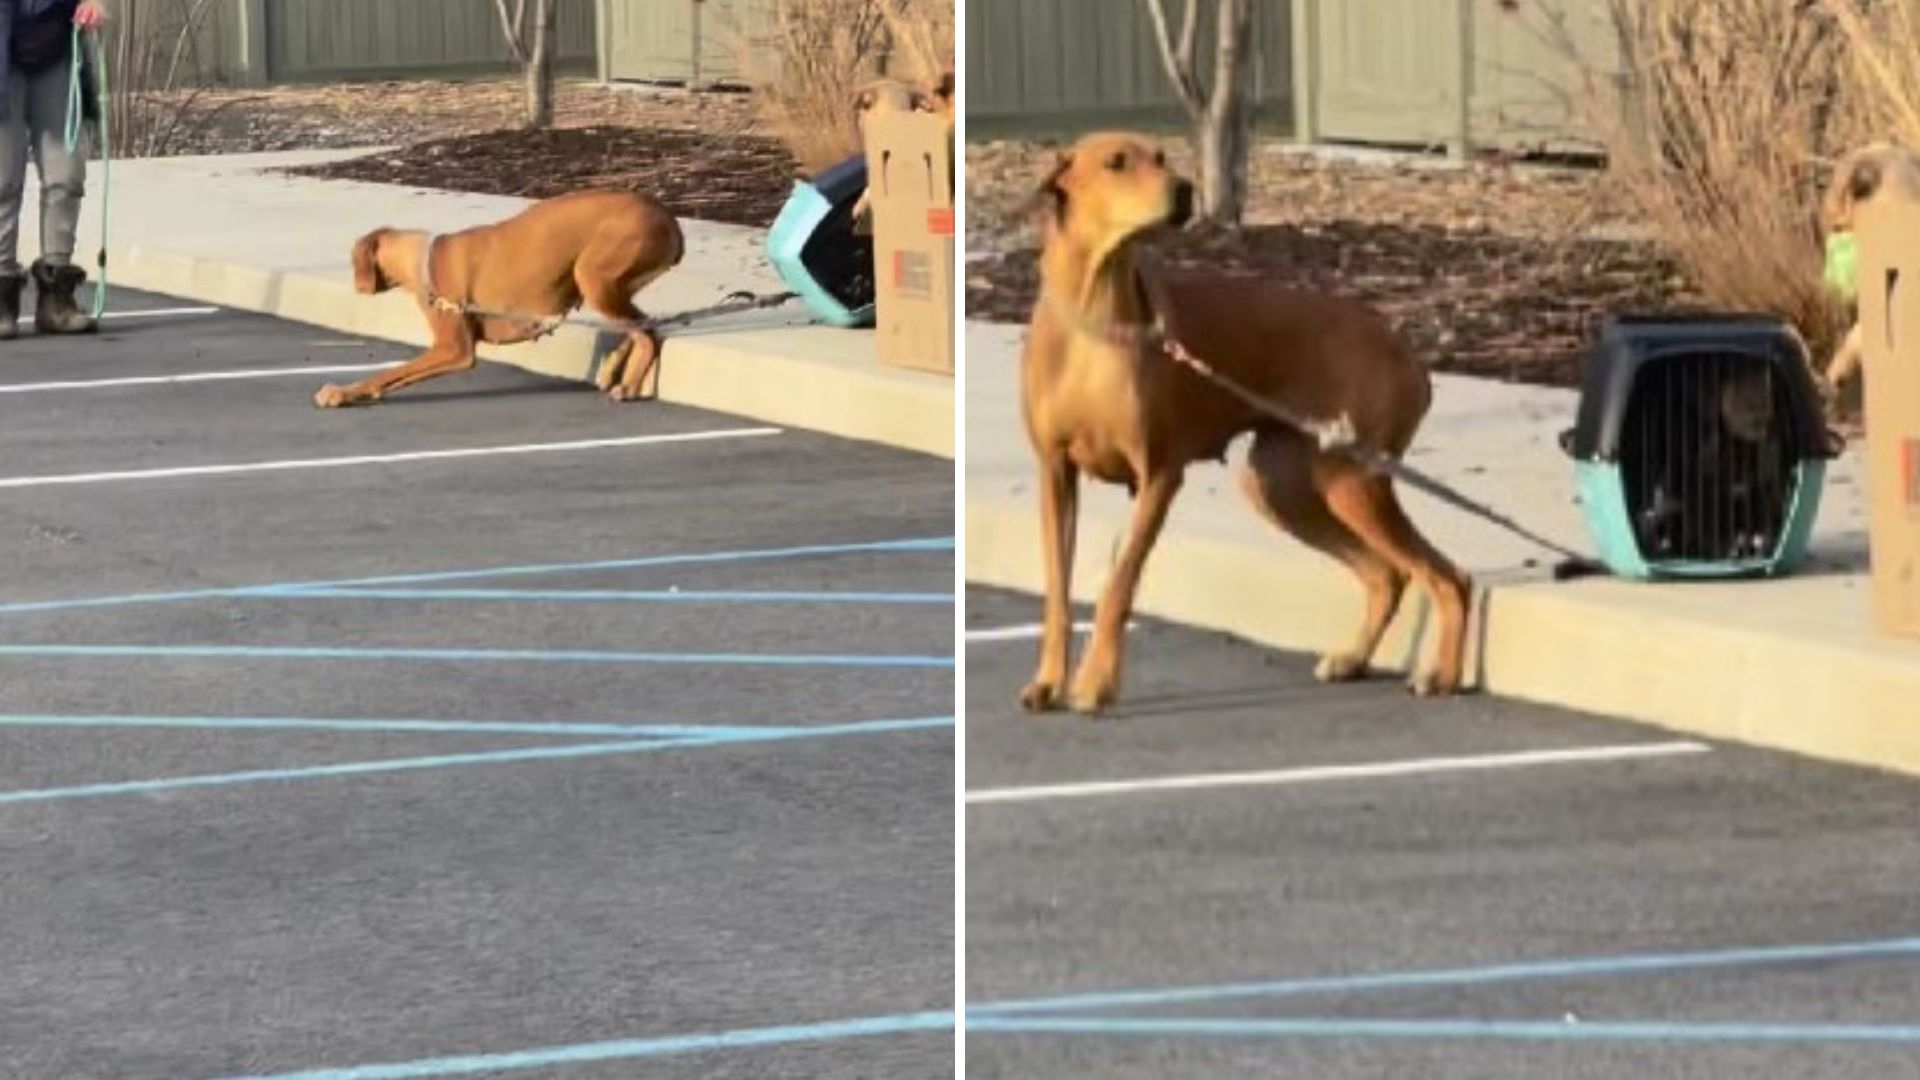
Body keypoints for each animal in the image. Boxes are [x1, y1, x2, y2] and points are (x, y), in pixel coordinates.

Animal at [324, 187, 691, 405]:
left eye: (353, 259)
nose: (357, 286)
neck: (423, 259)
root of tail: (669, 219)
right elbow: (394, 378)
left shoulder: (454, 350)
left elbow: (389, 373)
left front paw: (342, 392)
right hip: (612, 285)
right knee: (648, 328)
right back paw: (615, 370)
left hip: (595, 276)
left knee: (648, 335)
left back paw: (628, 386)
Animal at [1021, 130, 1466, 711]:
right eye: (1116, 162)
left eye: (1160, 157)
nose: (1184, 189)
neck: (1095, 320)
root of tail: (1406, 350)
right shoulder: (1055, 473)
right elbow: (1057, 589)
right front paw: (1048, 680)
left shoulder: (1158, 476)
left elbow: (1118, 586)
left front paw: (1096, 682)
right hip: (1283, 483)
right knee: (1387, 574)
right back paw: (1353, 659)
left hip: (1353, 480)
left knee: (1448, 576)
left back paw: (1442, 676)